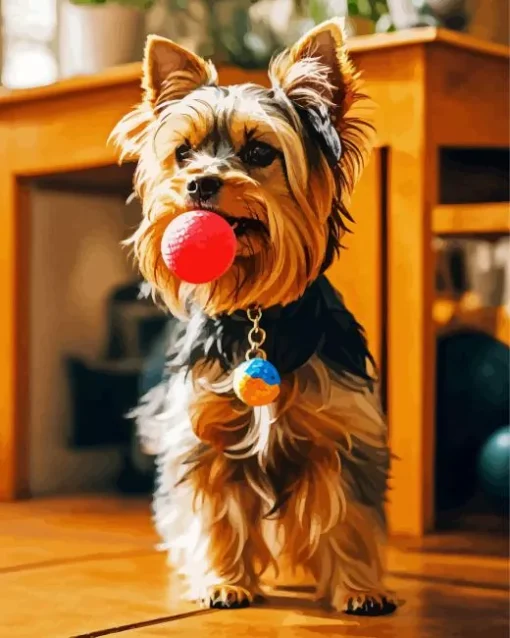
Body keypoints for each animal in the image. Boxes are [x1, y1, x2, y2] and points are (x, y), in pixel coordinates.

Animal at [112, 20, 398, 616]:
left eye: (261, 151)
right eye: (183, 153)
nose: (200, 182)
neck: (256, 313)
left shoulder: (344, 433)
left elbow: (350, 516)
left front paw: (360, 590)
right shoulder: (204, 436)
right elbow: (217, 512)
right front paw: (225, 581)